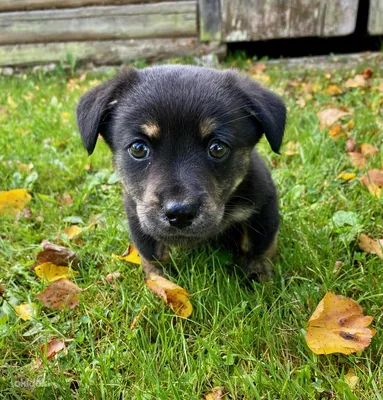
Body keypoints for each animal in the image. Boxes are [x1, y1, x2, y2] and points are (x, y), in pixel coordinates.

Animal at [76, 65, 286, 278]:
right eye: (138, 148)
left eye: (218, 148)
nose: (180, 214)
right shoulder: (136, 213)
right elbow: (152, 253)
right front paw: (159, 280)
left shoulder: (263, 205)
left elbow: (258, 246)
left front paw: (257, 277)